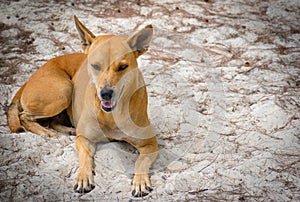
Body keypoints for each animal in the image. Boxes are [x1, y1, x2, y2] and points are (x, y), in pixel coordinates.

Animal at [5, 16, 158, 197]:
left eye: (123, 67)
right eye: (95, 66)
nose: (106, 93)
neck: (111, 115)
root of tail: (30, 77)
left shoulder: (150, 144)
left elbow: (140, 162)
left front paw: (140, 181)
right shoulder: (84, 139)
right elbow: (85, 158)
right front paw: (84, 177)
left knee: (50, 121)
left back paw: (66, 129)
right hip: (64, 90)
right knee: (24, 116)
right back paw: (46, 132)